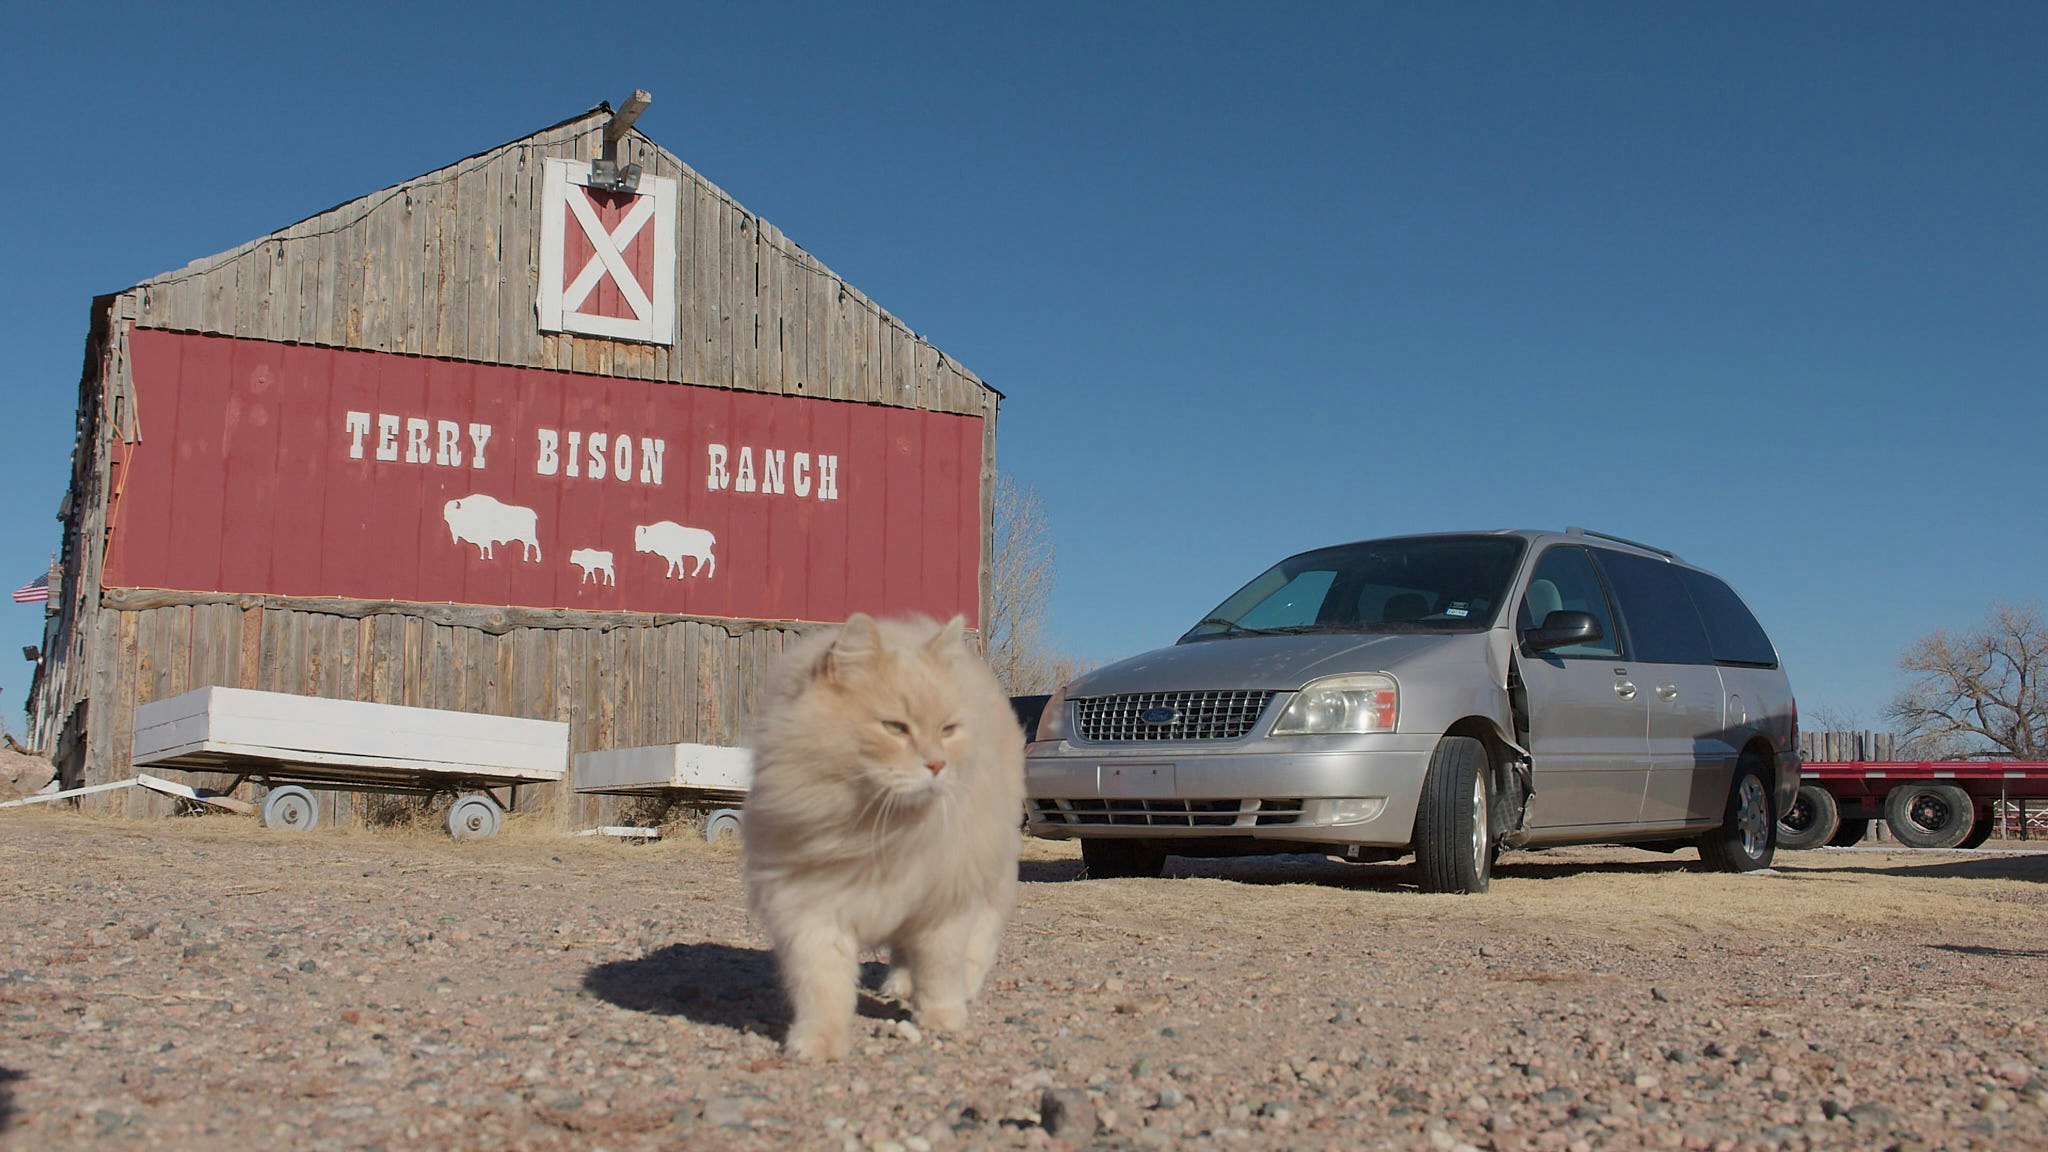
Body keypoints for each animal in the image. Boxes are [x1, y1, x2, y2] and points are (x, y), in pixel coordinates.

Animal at [741, 610, 1024, 1057]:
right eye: (895, 728)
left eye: (947, 730)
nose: (937, 765)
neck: (878, 832)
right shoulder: (810, 909)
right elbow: (823, 986)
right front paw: (818, 1045)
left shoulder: (942, 907)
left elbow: (941, 968)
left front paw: (942, 1018)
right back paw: (900, 987)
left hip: (990, 875)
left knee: (978, 942)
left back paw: (958, 991)